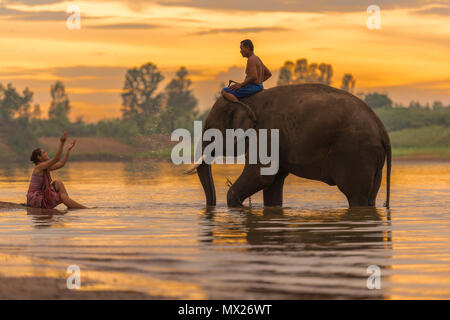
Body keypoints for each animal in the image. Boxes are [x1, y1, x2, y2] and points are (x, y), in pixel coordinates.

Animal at [190, 82, 390, 208]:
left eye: (210, 129)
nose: (211, 206)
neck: (247, 99)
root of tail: (381, 128)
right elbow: (273, 182)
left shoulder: (266, 133)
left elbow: (261, 175)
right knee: (370, 195)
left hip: (356, 153)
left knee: (356, 195)